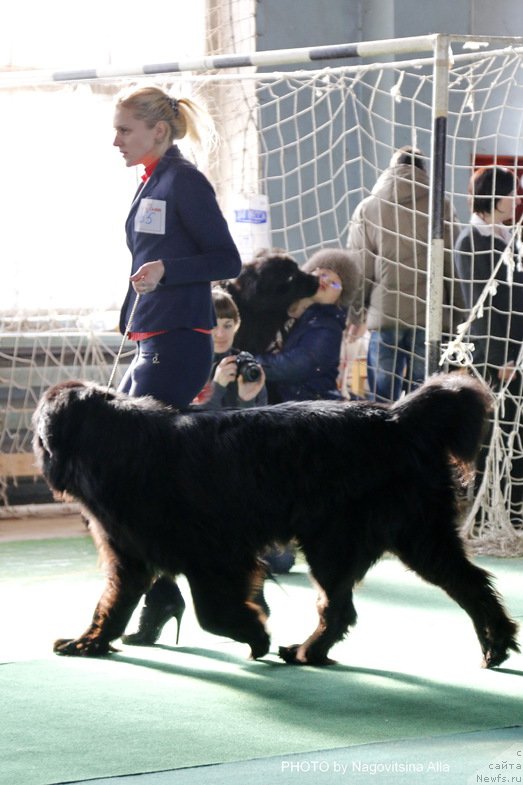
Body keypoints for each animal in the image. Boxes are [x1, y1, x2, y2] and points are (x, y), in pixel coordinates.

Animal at [32, 374, 520, 668]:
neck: (118, 447)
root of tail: (398, 418)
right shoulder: (130, 557)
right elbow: (111, 606)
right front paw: (89, 643)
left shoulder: (216, 556)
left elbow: (212, 612)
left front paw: (254, 633)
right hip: (408, 537)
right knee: (465, 586)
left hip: (347, 542)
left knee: (344, 605)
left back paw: (306, 651)